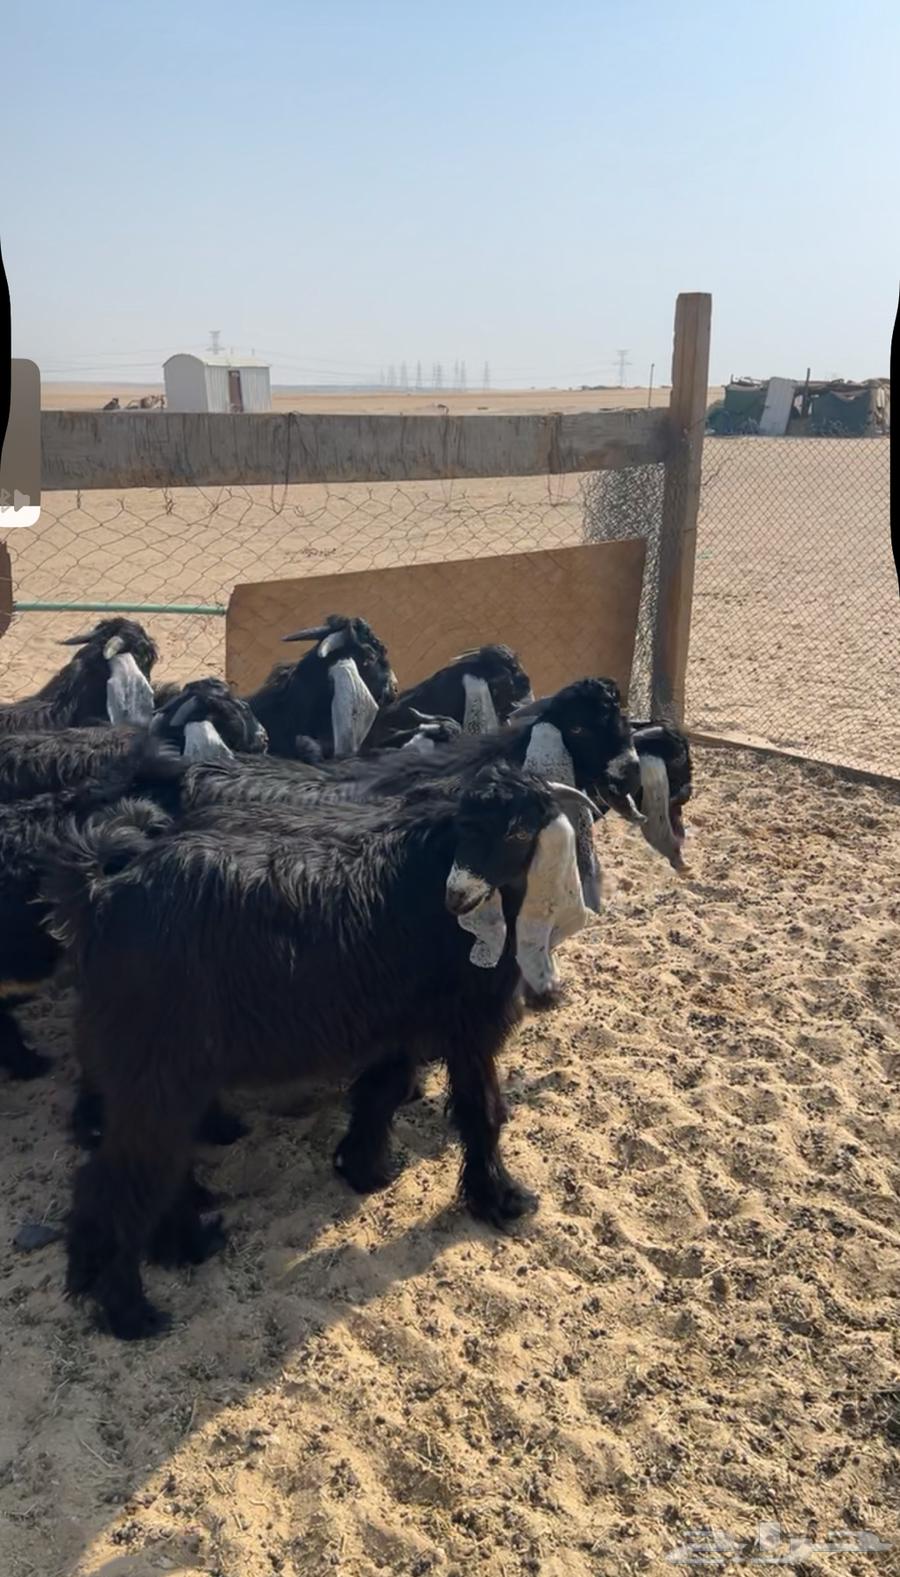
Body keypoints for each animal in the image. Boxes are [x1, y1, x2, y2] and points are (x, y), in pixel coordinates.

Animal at [48, 762, 595, 1338]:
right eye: (465, 824)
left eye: (516, 832)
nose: (457, 895)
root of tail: (101, 894)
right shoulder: (468, 1023)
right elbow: (481, 1112)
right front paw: (502, 1198)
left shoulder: (401, 1019)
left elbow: (382, 1089)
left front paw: (362, 1168)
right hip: (153, 1069)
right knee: (118, 1180)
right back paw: (130, 1310)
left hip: (166, 1074)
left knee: (154, 1165)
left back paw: (186, 1246)